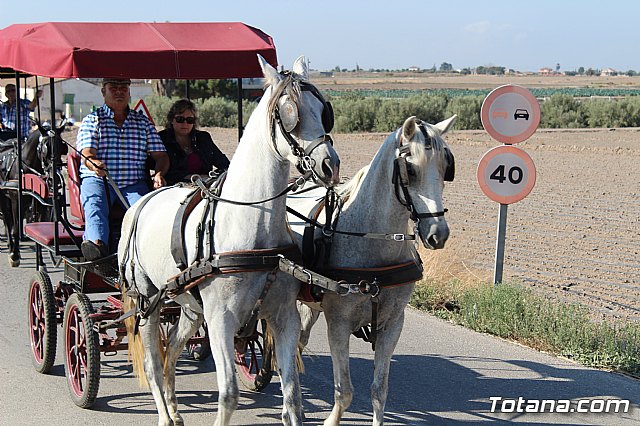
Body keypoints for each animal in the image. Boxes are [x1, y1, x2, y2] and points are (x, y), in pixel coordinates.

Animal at [120, 54, 340, 426]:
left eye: (324, 110)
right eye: (289, 113)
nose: (330, 165)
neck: (252, 232)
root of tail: (141, 202)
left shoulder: (283, 317)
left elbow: (292, 397)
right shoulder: (221, 320)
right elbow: (229, 395)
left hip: (190, 307)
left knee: (171, 352)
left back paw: (175, 408)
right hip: (148, 301)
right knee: (152, 362)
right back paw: (164, 414)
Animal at [288, 115, 458, 424]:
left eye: (445, 167)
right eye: (410, 169)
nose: (438, 234)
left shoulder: (393, 325)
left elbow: (380, 391)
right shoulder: (338, 325)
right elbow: (344, 391)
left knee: (298, 343)